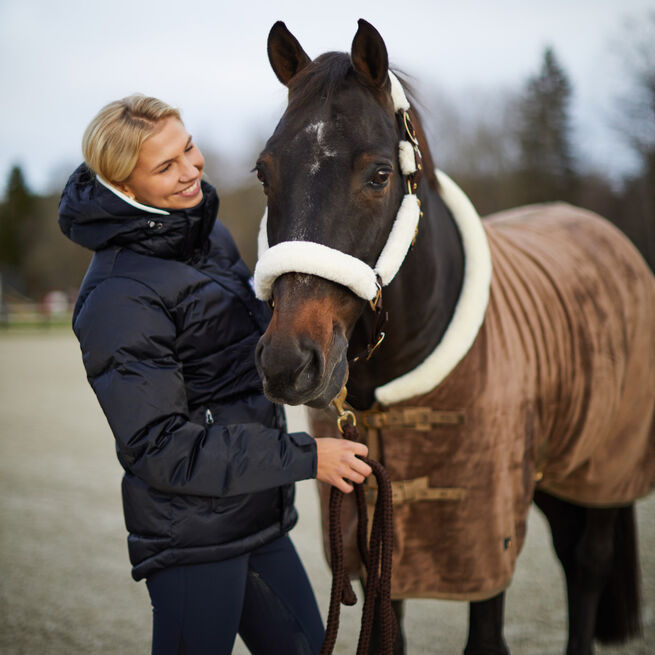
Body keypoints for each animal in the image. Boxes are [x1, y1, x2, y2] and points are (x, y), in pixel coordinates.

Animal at [251, 18, 655, 652]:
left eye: (380, 174)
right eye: (264, 172)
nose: (288, 363)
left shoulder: (487, 536)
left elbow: (486, 637)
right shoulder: (380, 544)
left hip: (604, 465)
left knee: (588, 563)